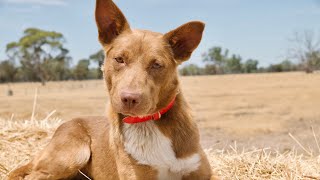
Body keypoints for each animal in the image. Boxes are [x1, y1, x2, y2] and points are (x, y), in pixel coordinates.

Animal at [8, 0, 215, 179]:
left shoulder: (200, 171)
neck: (148, 123)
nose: (129, 98)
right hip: (73, 154)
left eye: (156, 65)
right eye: (119, 59)